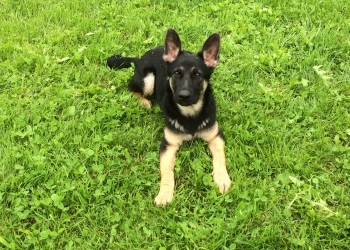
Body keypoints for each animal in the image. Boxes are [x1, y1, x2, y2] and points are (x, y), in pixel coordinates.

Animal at [106, 28, 232, 206]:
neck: (190, 114)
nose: (183, 96)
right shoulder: (168, 145)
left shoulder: (215, 136)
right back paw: (144, 102)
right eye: (177, 73)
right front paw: (164, 193)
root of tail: (140, 58)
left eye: (198, 75)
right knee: (131, 89)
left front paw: (222, 178)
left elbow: (220, 157)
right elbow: (166, 172)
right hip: (148, 79)